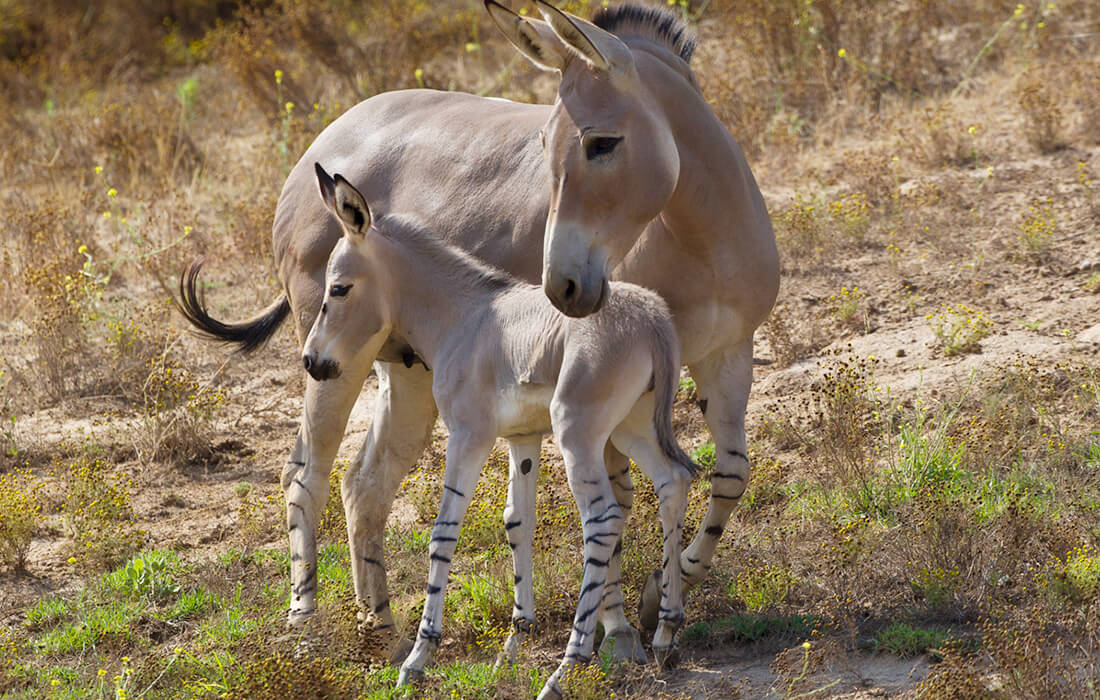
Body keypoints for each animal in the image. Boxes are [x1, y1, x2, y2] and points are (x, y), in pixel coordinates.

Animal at [301, 165, 695, 700]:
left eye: (338, 289)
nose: (311, 361)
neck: (464, 317)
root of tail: (652, 315)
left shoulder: (468, 436)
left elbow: (443, 532)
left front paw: (418, 659)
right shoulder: (521, 439)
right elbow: (517, 523)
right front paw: (513, 646)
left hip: (579, 434)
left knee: (603, 520)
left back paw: (567, 668)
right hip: (631, 427)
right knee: (674, 481)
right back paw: (666, 632)